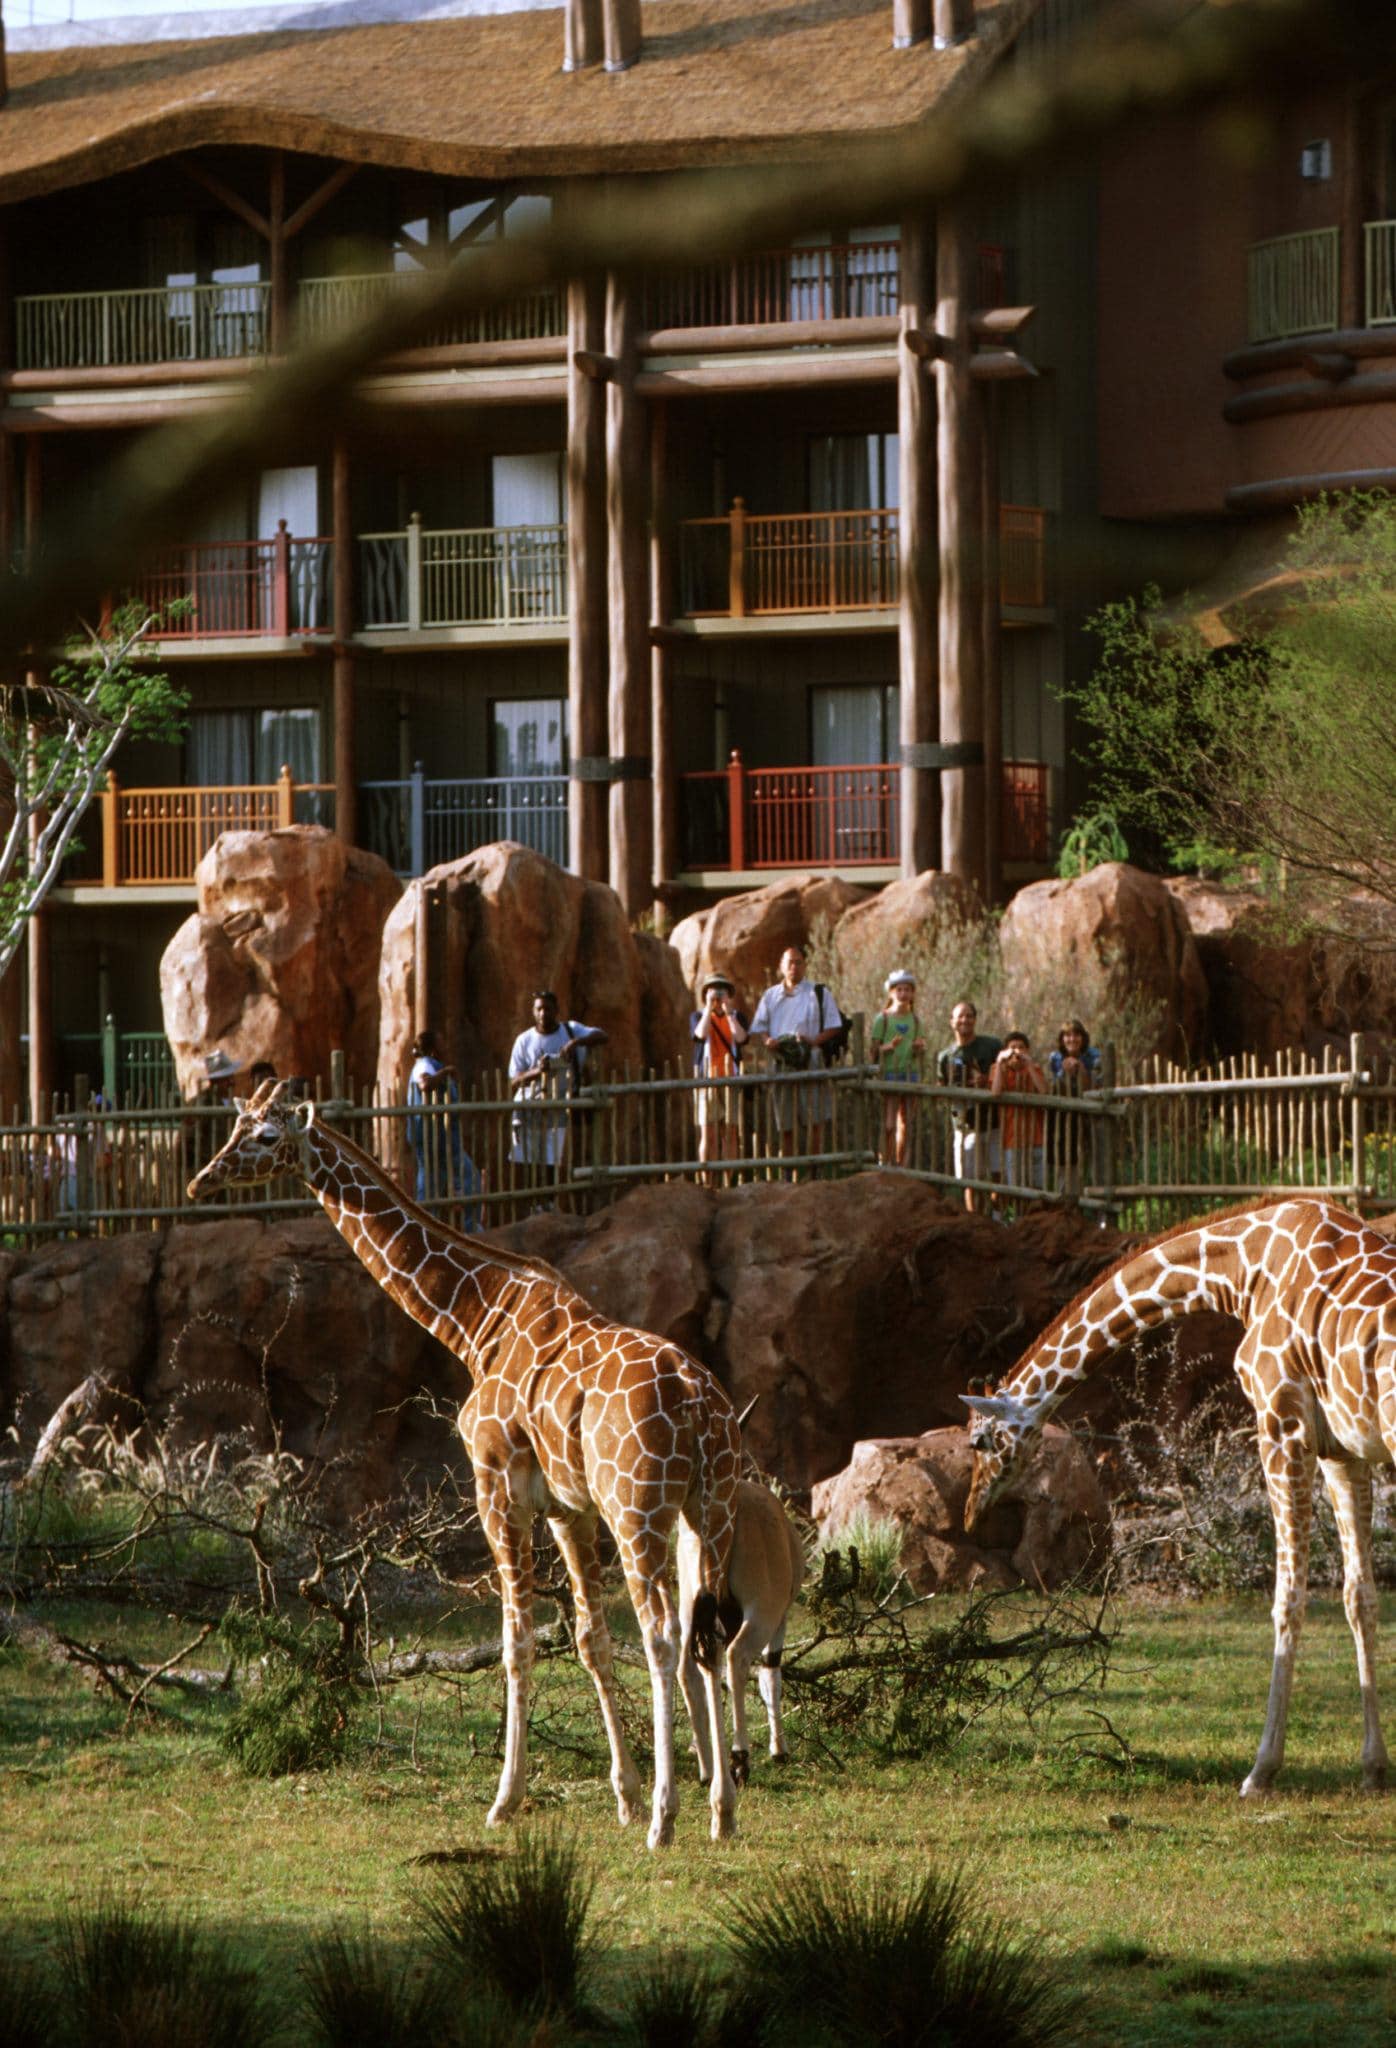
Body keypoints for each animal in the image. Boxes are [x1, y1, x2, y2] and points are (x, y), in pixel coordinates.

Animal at [193, 1081, 749, 1851]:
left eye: (267, 1136)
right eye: (235, 1126)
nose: (201, 1180)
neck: (475, 1320)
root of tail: (699, 1405)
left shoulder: (497, 1487)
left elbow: (517, 1641)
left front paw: (507, 1799)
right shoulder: (569, 1509)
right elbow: (589, 1640)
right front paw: (625, 1795)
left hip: (638, 1510)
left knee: (664, 1634)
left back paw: (667, 1821)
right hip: (709, 1507)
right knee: (711, 1633)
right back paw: (722, 1810)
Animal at [957, 1196, 1391, 1802]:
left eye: (980, 1442)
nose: (970, 1514)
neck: (1242, 1268)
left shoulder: (1282, 1427)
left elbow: (1289, 1598)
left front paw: (1262, 1770)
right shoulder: (1342, 1449)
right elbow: (1359, 1597)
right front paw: (1374, 1767)